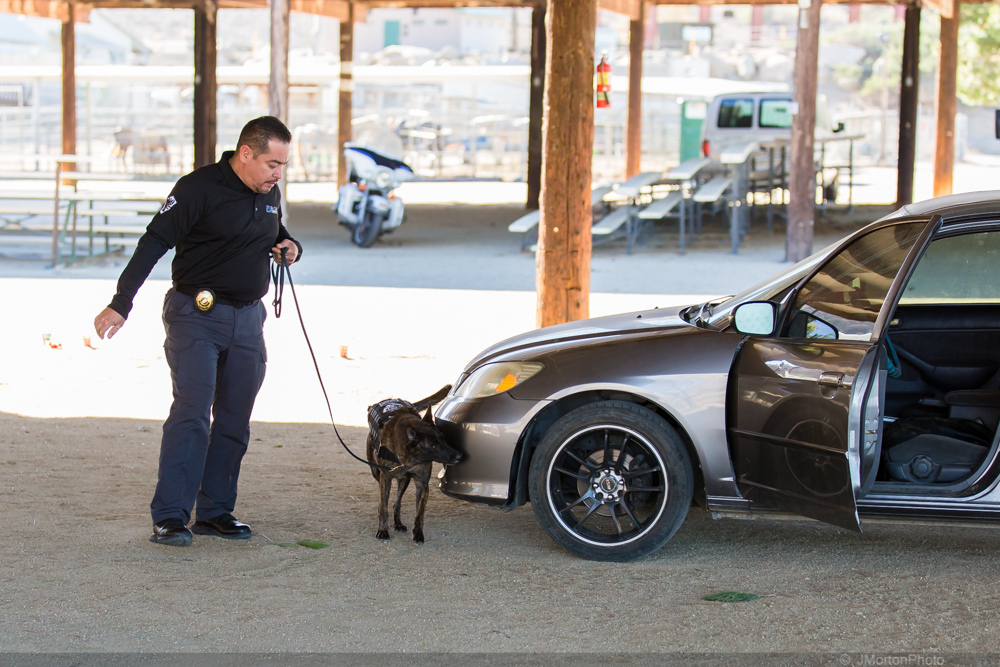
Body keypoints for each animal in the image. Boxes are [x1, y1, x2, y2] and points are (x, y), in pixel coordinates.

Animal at [366, 385, 462, 543]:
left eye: (443, 438)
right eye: (433, 446)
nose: (459, 456)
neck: (409, 459)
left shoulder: (422, 484)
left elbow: (419, 514)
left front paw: (418, 533)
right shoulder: (385, 478)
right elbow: (384, 507)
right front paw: (382, 530)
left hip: (404, 480)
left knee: (397, 503)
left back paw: (398, 523)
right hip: (376, 472)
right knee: (386, 501)